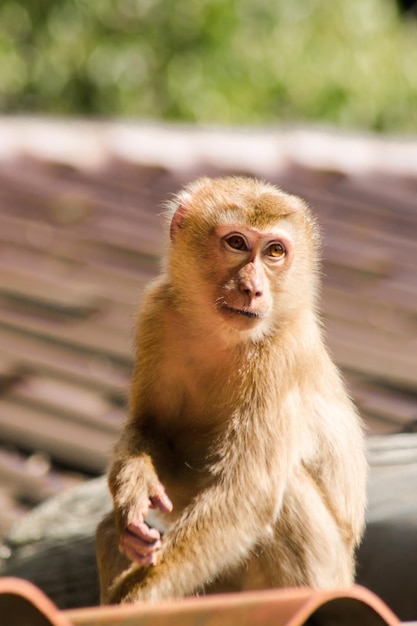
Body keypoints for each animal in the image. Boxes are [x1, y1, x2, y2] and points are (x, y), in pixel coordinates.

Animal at [96, 176, 366, 604]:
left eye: (275, 251)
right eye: (236, 243)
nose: (253, 289)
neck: (221, 334)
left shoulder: (281, 355)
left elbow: (246, 498)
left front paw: (133, 602)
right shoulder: (158, 311)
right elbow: (151, 429)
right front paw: (133, 496)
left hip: (327, 572)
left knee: (286, 489)